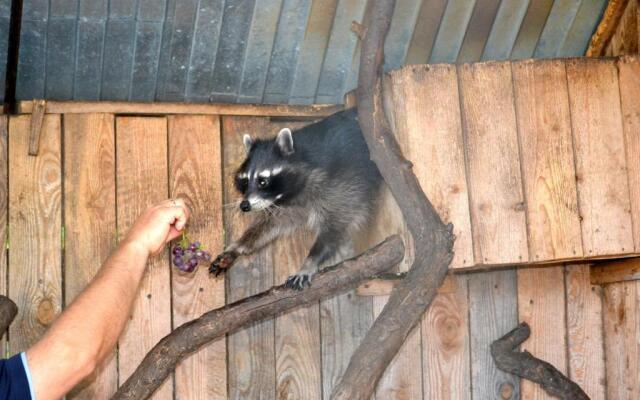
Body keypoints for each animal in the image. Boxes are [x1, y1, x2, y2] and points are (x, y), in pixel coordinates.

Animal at [210, 109, 382, 290]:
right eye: (244, 181)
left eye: (263, 181)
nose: (244, 206)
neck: (291, 194)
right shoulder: (284, 205)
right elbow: (269, 225)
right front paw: (238, 246)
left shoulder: (341, 185)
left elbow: (334, 229)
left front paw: (309, 262)